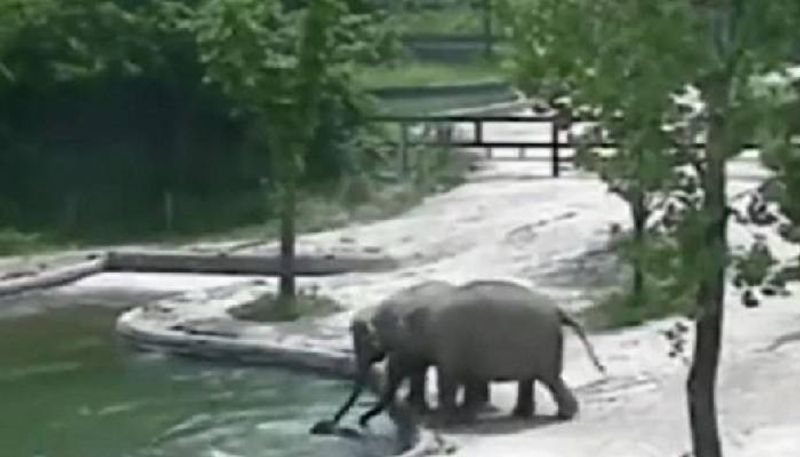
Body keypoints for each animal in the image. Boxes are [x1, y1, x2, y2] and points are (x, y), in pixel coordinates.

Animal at [310, 280, 488, 432]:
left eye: (364, 344)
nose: (321, 425)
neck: (375, 311)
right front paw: (414, 406)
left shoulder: (404, 338)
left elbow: (408, 367)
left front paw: (417, 409)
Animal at [360, 280, 604, 426]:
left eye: (398, 350)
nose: (362, 422)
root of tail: (557, 309)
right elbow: (468, 380)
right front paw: (463, 417)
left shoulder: (449, 343)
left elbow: (448, 380)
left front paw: (445, 421)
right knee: (536, 378)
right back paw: (525, 414)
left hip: (541, 343)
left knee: (549, 378)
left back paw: (563, 415)